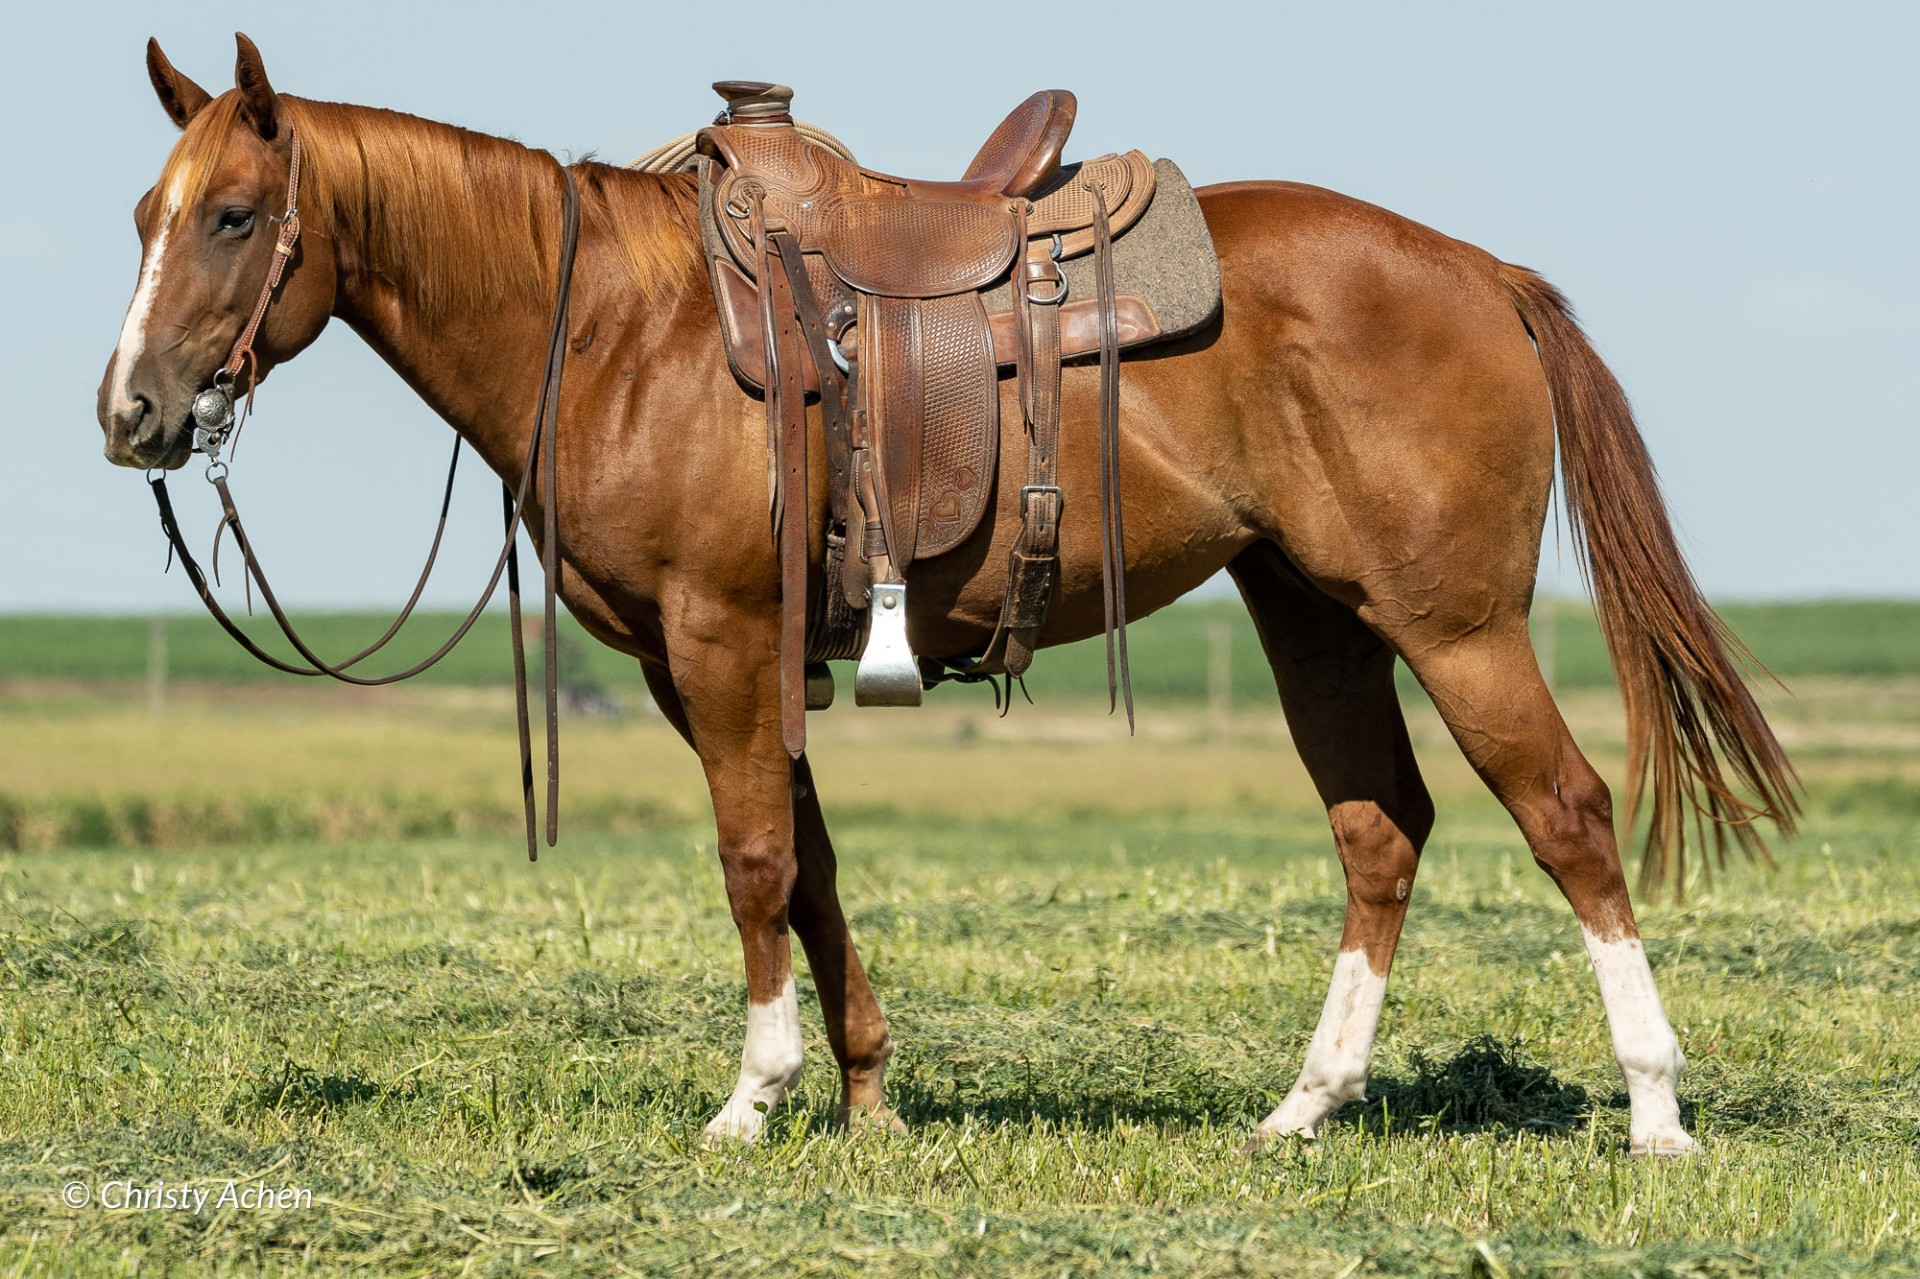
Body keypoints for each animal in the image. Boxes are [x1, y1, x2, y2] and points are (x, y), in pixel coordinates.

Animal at [97, 34, 1789, 1152]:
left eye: (234, 216)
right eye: (142, 217)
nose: (129, 413)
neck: (622, 331)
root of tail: (1484, 271)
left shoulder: (717, 640)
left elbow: (751, 860)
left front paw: (751, 1096)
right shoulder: (710, 664)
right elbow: (813, 863)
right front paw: (865, 1095)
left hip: (1453, 623)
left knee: (1567, 813)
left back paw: (1655, 1109)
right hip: (1311, 609)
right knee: (1383, 827)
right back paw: (1302, 1107)